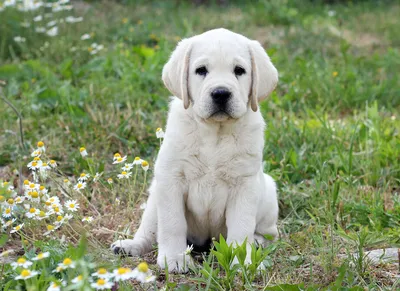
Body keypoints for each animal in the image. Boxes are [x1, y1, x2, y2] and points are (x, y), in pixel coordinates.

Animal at [111, 28, 280, 274]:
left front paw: (242, 261)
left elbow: (241, 228)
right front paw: (174, 259)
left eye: (239, 71)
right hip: (154, 200)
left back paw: (258, 242)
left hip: (268, 193)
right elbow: (172, 224)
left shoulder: (245, 185)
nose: (221, 93)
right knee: (149, 232)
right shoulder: (171, 178)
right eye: (201, 70)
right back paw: (130, 245)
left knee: (269, 233)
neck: (215, 134)